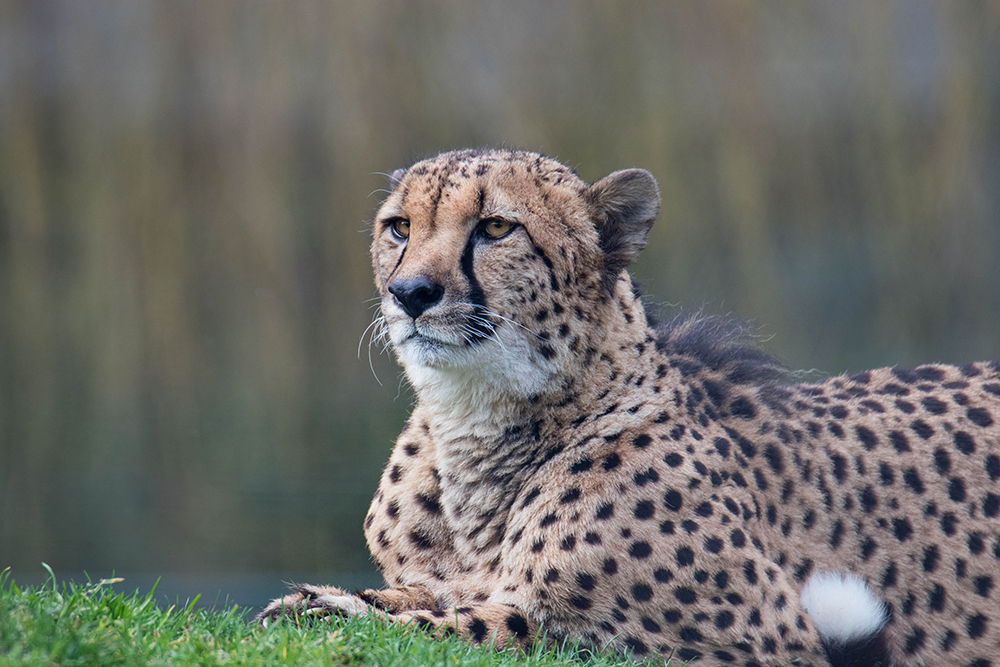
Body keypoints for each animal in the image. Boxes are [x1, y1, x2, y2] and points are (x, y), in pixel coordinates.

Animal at [260, 149, 1000, 664]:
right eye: (399, 227)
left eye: (495, 227)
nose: (411, 292)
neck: (475, 426)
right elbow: (432, 595)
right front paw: (322, 599)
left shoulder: (760, 638)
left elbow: (490, 624)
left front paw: (331, 611)